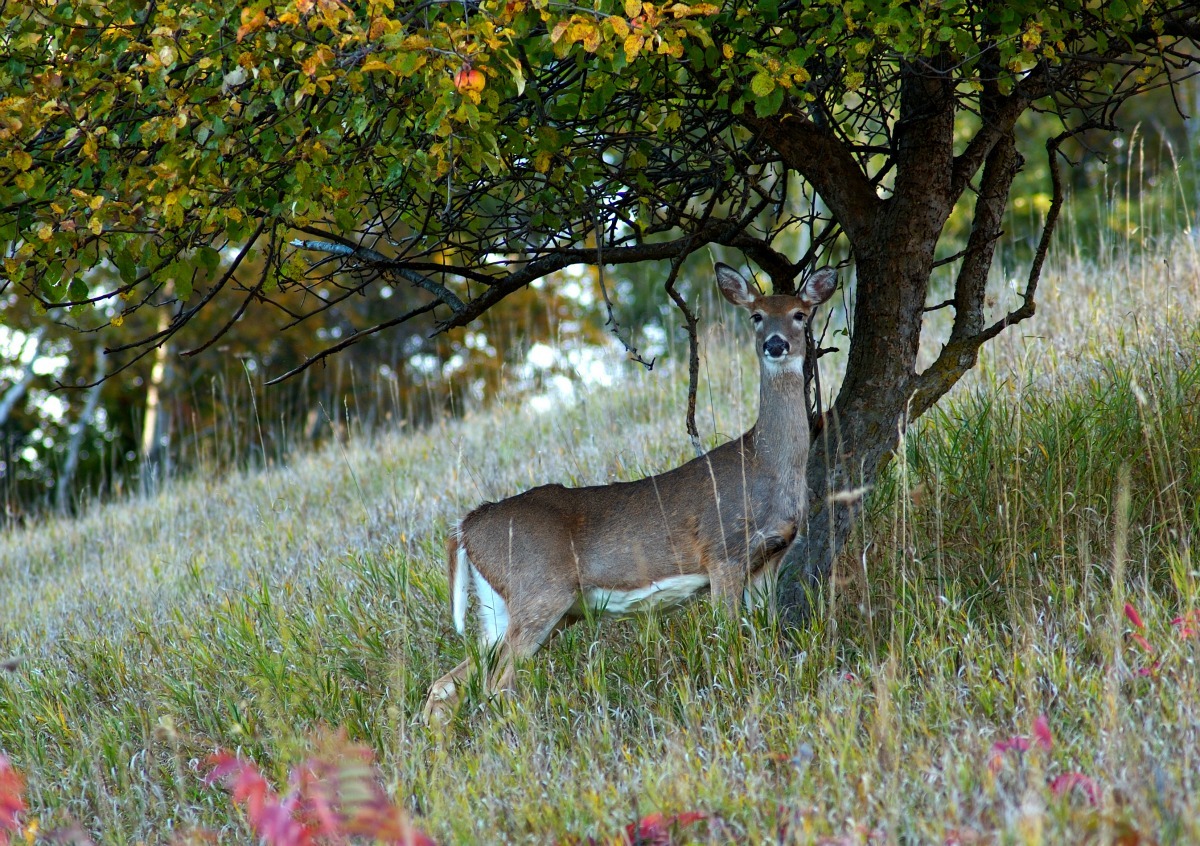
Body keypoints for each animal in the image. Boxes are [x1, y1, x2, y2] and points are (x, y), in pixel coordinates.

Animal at [422, 259, 835, 720]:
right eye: (756, 316)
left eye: (800, 314)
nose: (776, 344)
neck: (764, 464)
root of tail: (465, 526)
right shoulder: (722, 550)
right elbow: (729, 638)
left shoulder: (770, 557)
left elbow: (764, 633)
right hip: (540, 590)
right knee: (496, 683)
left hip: (502, 609)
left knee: (447, 683)